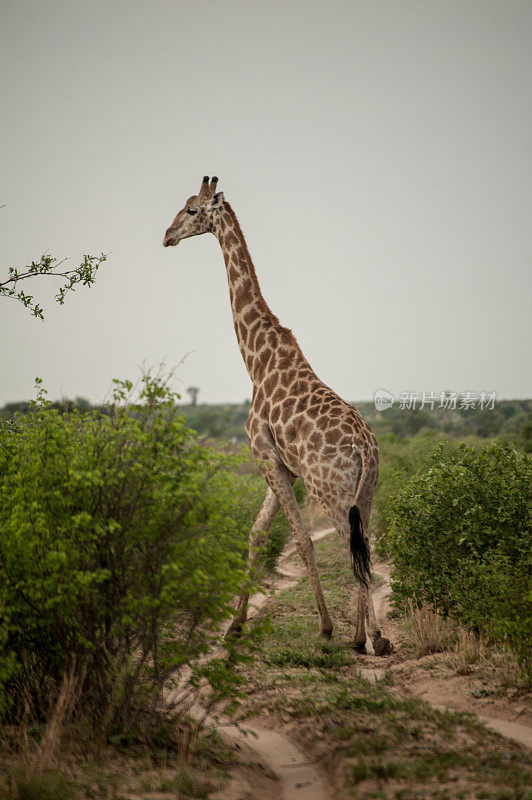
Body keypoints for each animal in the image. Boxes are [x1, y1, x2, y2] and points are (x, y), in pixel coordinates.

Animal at [164, 177, 392, 656]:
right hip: (367, 491)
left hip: (331, 490)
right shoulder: (282, 465)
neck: (257, 361)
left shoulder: (265, 455)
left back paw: (374, 638)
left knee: (350, 544)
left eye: (192, 210)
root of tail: (365, 447)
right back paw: (362, 636)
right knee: (364, 545)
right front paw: (234, 627)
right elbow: (255, 534)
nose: (167, 235)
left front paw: (324, 627)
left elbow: (301, 539)